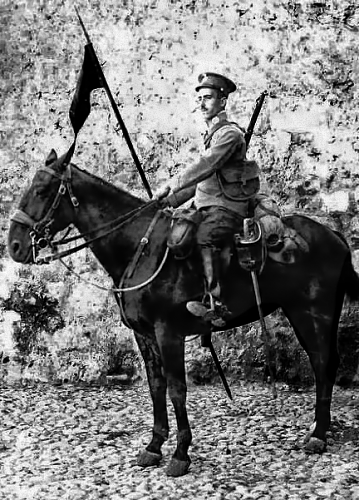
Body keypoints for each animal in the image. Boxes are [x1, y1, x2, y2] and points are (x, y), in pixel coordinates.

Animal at [7, 148, 359, 476]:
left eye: (42, 190)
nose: (14, 245)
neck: (141, 247)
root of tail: (334, 236)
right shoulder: (144, 334)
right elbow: (156, 386)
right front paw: (154, 445)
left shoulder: (168, 333)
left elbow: (177, 389)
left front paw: (180, 453)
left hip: (314, 312)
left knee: (323, 363)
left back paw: (318, 434)